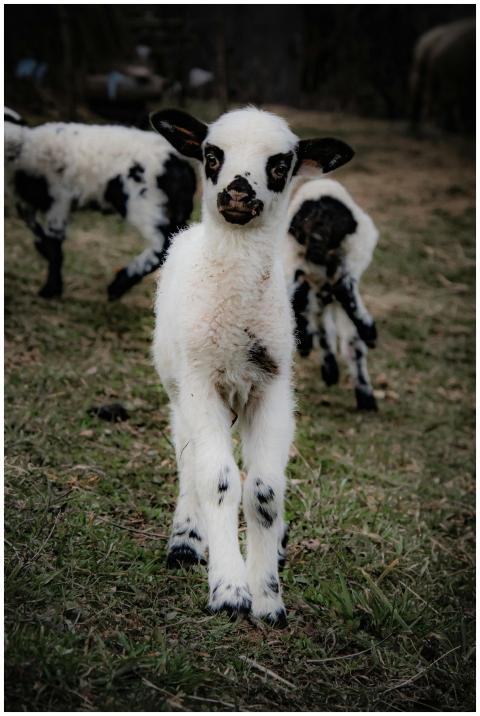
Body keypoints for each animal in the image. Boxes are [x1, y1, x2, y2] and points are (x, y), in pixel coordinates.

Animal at [4, 108, 196, 299]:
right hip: (174, 210)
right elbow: (39, 234)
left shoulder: (59, 199)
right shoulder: (27, 203)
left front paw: (50, 289)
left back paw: (118, 285)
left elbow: (54, 245)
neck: (24, 145)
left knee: (162, 243)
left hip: (144, 202)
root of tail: (182, 167)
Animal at [149, 106, 354, 625]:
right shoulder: (201, 383)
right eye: (211, 155)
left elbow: (263, 492)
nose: (238, 192)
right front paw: (229, 591)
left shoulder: (272, 387)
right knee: (188, 460)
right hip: (178, 387)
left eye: (281, 164)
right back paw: (187, 539)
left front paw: (267, 598)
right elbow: (219, 481)